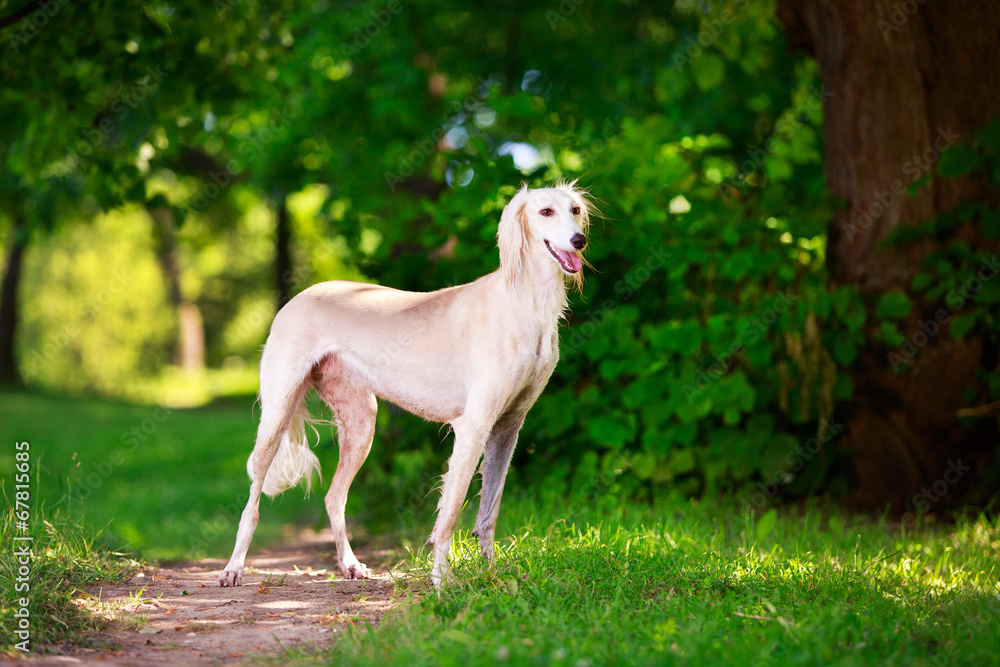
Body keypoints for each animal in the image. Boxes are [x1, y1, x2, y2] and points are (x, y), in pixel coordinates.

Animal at [219, 183, 588, 584]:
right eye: (545, 212)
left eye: (574, 209)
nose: (579, 240)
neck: (524, 302)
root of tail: (297, 298)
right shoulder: (473, 426)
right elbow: (450, 513)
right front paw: (442, 582)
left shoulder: (508, 426)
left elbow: (488, 512)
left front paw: (491, 576)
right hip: (277, 413)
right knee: (253, 502)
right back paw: (233, 568)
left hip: (361, 424)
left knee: (334, 497)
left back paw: (350, 564)